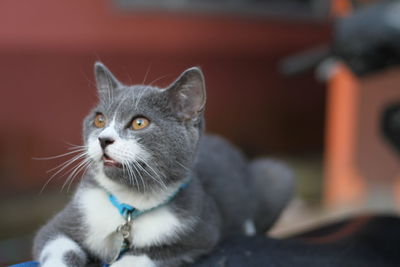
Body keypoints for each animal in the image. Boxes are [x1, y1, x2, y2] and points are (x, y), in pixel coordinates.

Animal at [32, 63, 294, 267]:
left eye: (139, 123)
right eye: (99, 120)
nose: (103, 138)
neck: (131, 204)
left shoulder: (201, 231)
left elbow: (147, 254)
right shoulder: (71, 218)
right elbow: (53, 240)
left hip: (275, 176)